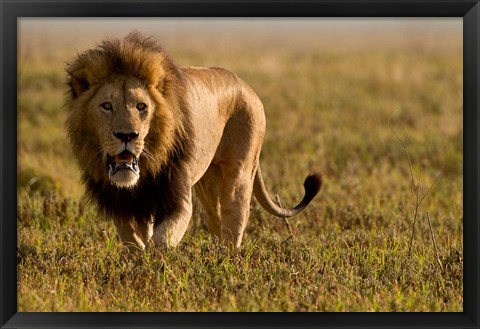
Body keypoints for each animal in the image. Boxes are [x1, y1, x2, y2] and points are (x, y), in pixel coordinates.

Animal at [64, 31, 322, 251]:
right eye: (106, 106)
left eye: (141, 106)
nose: (127, 135)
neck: (147, 167)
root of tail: (246, 86)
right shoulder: (125, 204)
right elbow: (134, 242)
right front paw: (138, 262)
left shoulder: (177, 199)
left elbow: (160, 241)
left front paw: (153, 264)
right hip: (207, 184)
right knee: (217, 221)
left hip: (238, 172)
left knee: (234, 218)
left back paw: (229, 261)